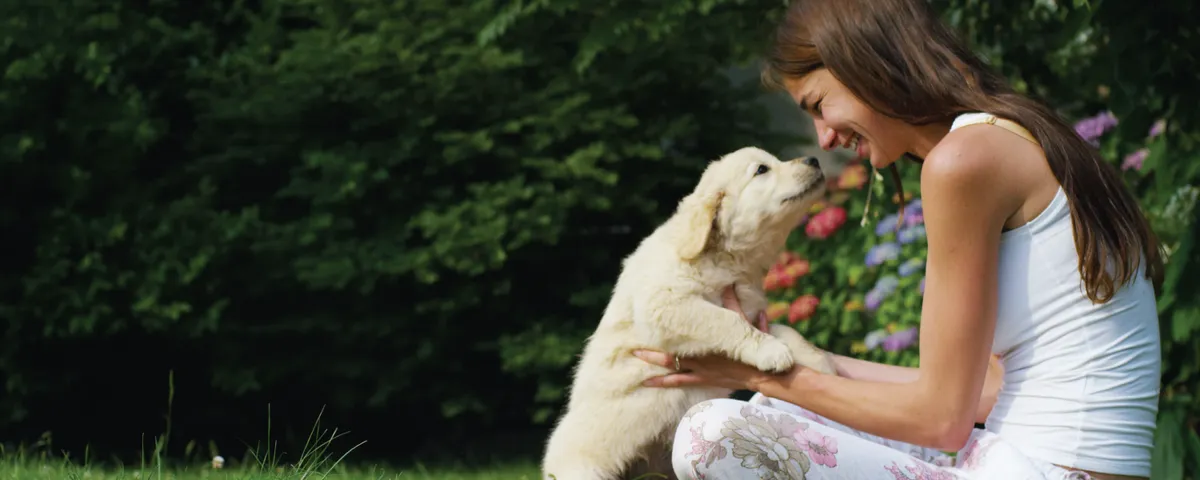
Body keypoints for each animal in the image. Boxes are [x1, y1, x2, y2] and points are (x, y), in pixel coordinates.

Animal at [540, 147, 838, 480]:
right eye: (762, 170)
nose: (813, 160)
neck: (726, 259)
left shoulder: (751, 309)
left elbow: (787, 331)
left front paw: (822, 364)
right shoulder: (667, 304)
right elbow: (726, 320)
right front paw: (772, 352)